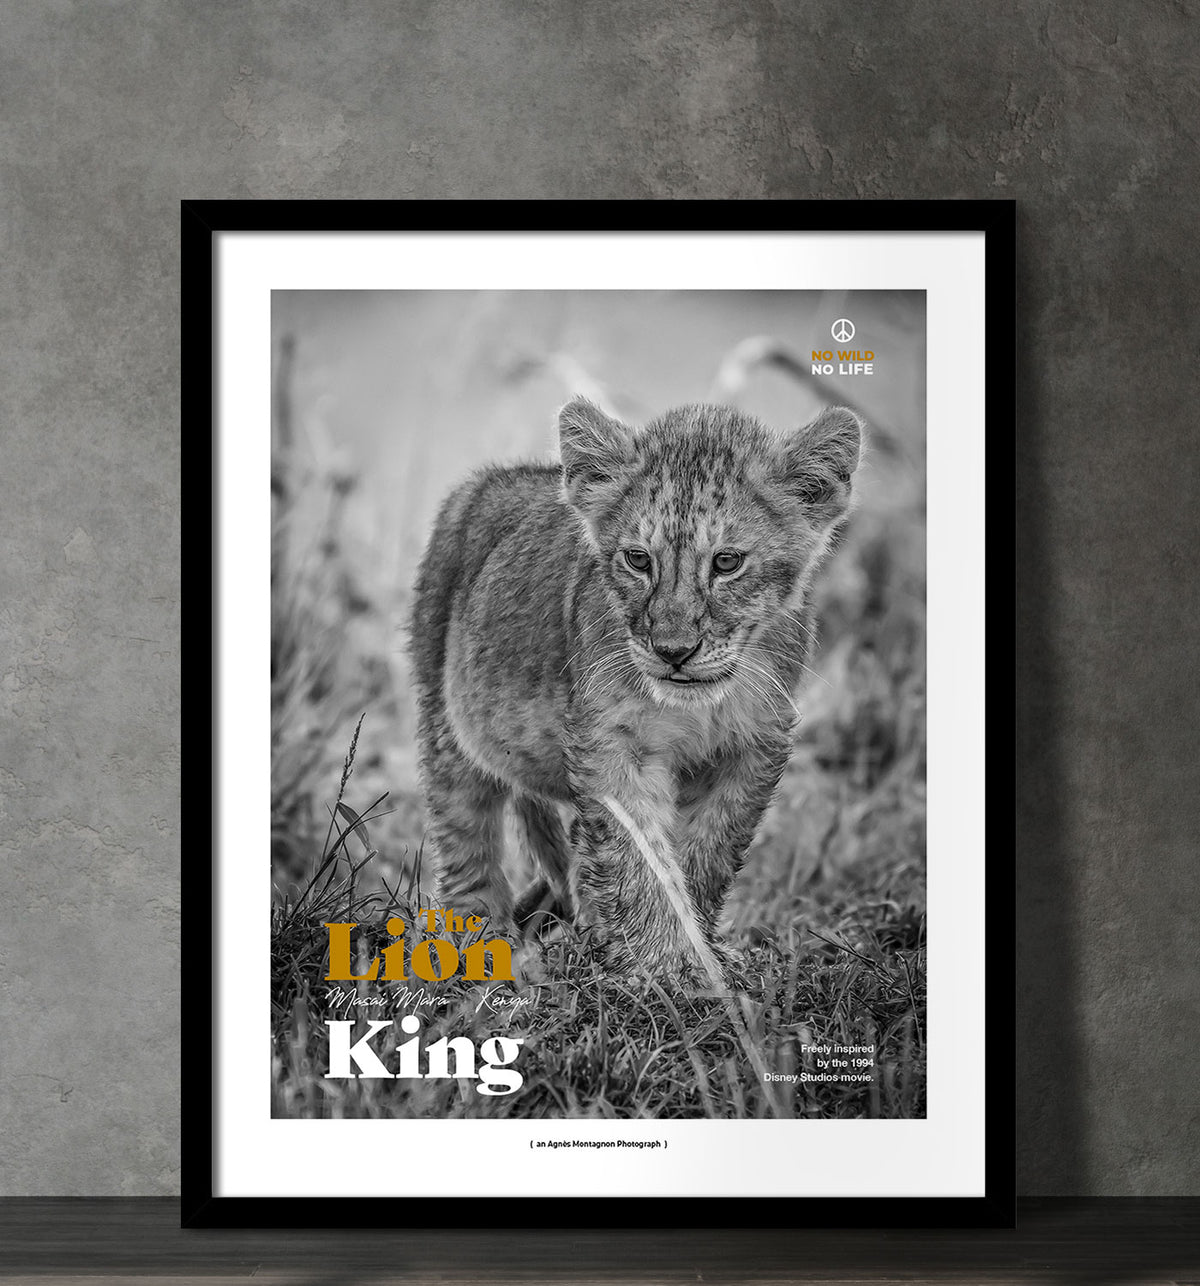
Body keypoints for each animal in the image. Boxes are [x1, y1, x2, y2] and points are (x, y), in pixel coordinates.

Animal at [410, 397, 862, 975]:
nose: (673, 650)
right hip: (445, 720)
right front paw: (663, 965)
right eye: (638, 559)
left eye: (727, 562)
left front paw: (696, 951)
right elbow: (639, 857)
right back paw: (479, 943)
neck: (696, 706)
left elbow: (705, 854)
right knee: (467, 837)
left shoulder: (753, 746)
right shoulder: (610, 741)